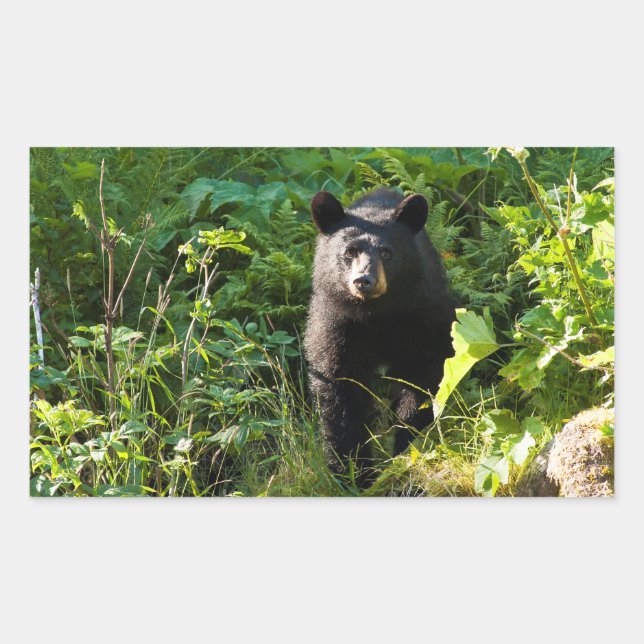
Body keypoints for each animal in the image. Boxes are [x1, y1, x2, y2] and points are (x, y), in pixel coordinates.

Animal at [304, 188, 456, 478]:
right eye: (349, 252)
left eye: (386, 252)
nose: (364, 280)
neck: (376, 314)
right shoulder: (336, 324)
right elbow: (340, 388)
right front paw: (353, 470)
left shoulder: (423, 316)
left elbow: (423, 376)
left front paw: (406, 444)